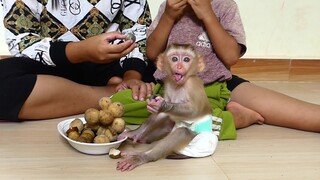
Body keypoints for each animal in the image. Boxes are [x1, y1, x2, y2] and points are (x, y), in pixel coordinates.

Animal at [116, 43, 214, 172]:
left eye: (186, 60)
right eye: (174, 59)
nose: (179, 66)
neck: (178, 85)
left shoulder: (193, 83)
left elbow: (194, 110)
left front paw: (162, 105)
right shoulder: (168, 82)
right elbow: (163, 111)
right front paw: (155, 105)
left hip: (197, 140)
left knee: (182, 132)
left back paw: (142, 157)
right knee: (164, 117)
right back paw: (136, 135)